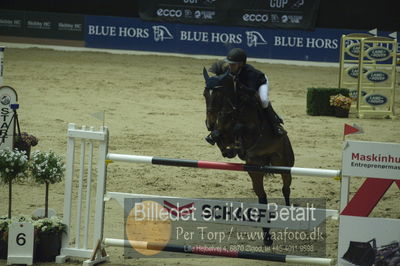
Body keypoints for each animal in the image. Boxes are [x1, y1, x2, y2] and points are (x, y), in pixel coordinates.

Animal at [203, 61, 294, 246]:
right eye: (204, 95)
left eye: (218, 94)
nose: (209, 123)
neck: (234, 107)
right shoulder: (223, 131)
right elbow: (218, 136)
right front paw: (229, 150)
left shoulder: (253, 131)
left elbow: (239, 128)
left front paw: (237, 145)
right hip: (254, 170)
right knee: (262, 197)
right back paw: (267, 237)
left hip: (285, 164)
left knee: (286, 188)